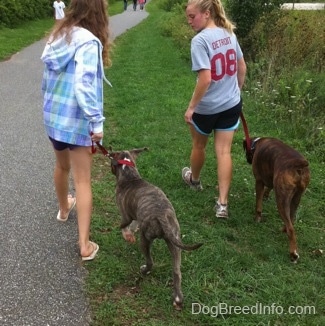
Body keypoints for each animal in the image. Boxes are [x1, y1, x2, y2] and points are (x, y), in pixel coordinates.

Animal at [107, 146, 201, 310]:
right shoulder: (136, 215)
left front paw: (127, 235)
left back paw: (144, 270)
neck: (130, 176)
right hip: (175, 242)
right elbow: (134, 223)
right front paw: (131, 231)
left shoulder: (125, 214)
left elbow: (123, 226)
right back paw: (177, 298)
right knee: (177, 271)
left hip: (145, 239)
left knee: (150, 261)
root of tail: (162, 216)